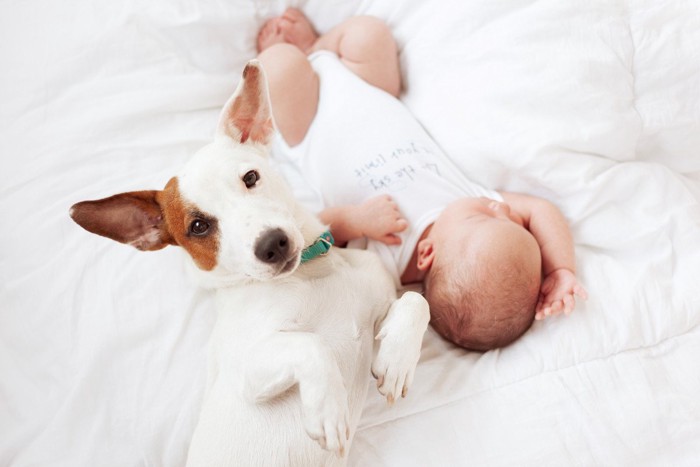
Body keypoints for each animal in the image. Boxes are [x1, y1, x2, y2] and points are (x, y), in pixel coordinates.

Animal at [71, 62, 432, 467]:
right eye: (198, 226)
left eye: (250, 177)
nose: (272, 244)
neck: (308, 273)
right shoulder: (247, 371)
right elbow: (310, 344)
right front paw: (329, 409)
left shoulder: (378, 309)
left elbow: (417, 301)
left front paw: (398, 359)